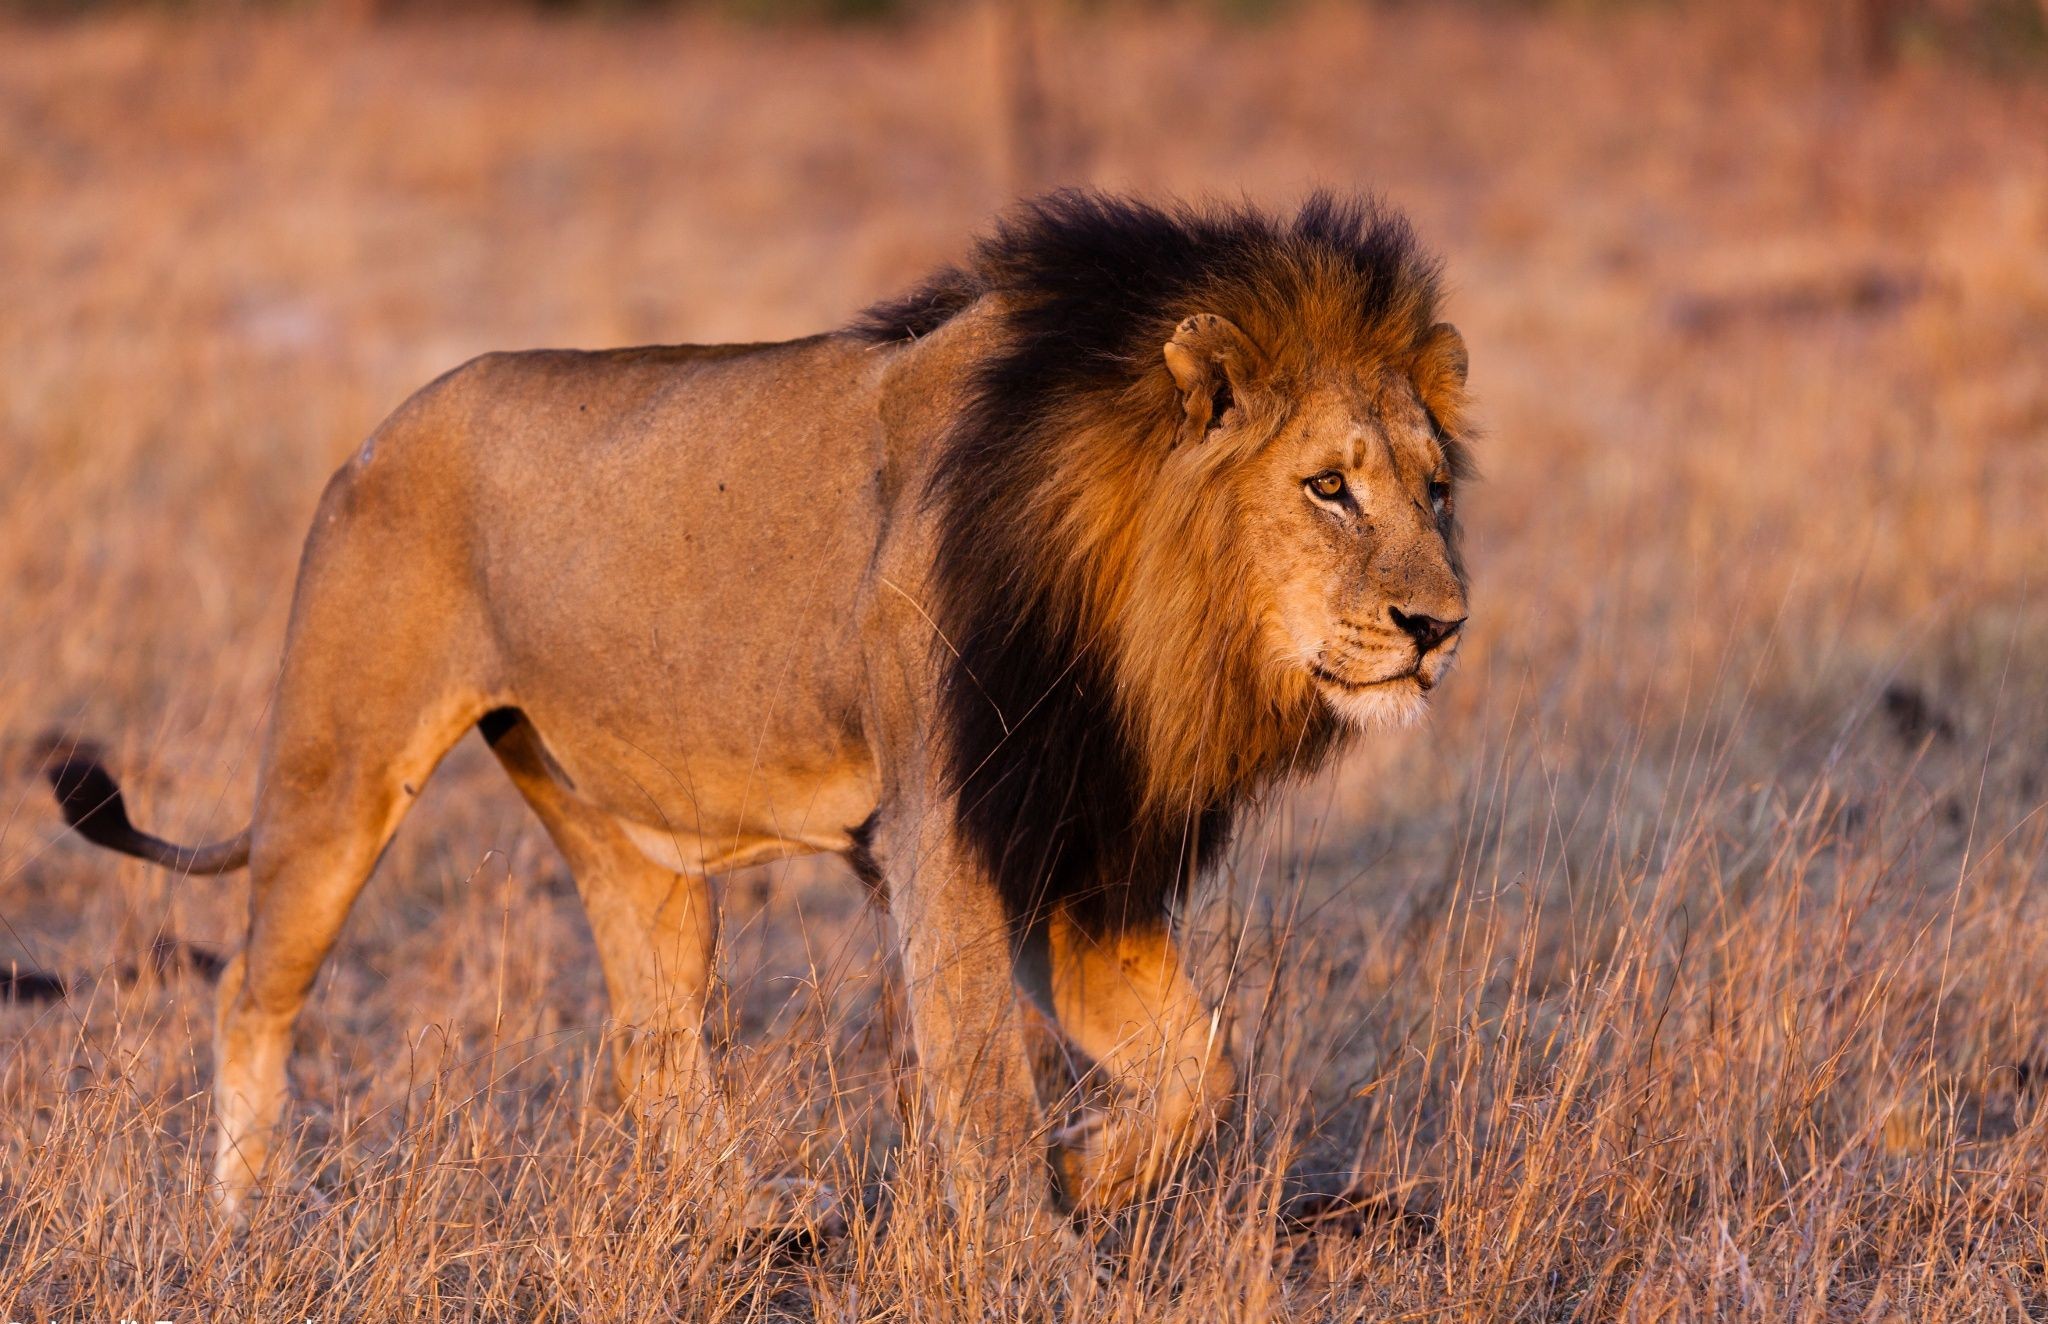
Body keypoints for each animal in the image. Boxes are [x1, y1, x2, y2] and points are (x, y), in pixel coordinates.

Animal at [40, 191, 1471, 1234]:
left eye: (1434, 489)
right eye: (1327, 486)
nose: (1438, 626)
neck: (1149, 616)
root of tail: (374, 435)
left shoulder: (1072, 852)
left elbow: (1201, 1074)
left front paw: (1081, 1178)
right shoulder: (948, 829)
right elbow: (982, 1081)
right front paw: (1029, 1243)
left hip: (623, 831)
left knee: (652, 1045)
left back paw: (746, 1218)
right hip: (336, 770)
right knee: (249, 995)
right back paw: (246, 1213)